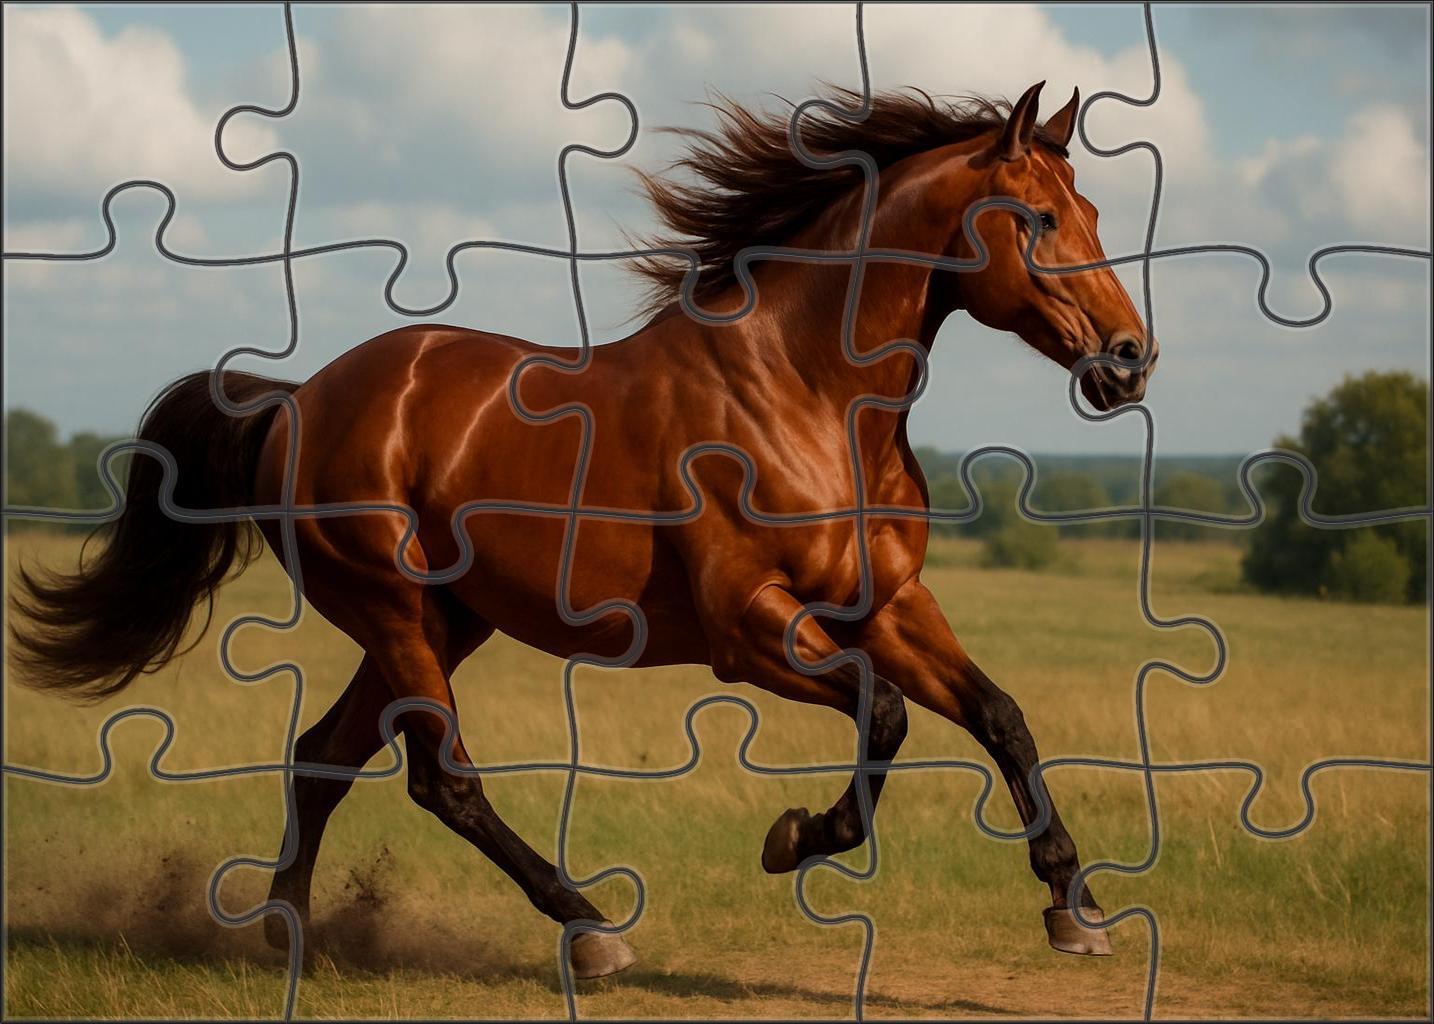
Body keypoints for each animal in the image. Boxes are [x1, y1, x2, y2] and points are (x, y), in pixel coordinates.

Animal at [12, 81, 1156, 979]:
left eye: (1092, 208)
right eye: (1036, 218)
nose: (1130, 358)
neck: (808, 394)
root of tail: (297, 400)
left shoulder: (886, 605)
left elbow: (1001, 717)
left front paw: (1077, 908)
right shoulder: (750, 628)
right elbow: (885, 718)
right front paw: (795, 838)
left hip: (444, 622)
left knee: (321, 757)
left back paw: (288, 930)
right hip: (393, 612)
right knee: (439, 778)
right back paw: (591, 927)